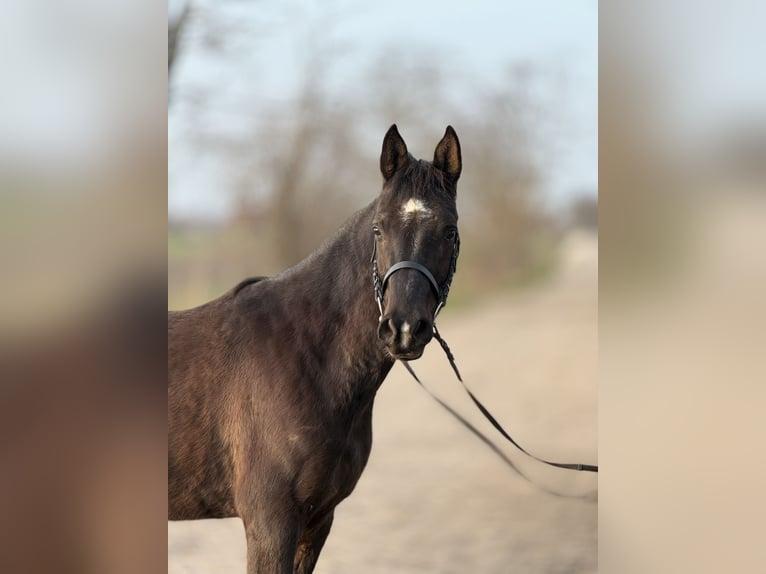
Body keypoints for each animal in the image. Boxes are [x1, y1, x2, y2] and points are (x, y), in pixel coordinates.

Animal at [168, 124, 462, 573]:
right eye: (379, 229)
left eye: (449, 230)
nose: (404, 328)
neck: (307, 356)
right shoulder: (270, 524)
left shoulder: (318, 520)